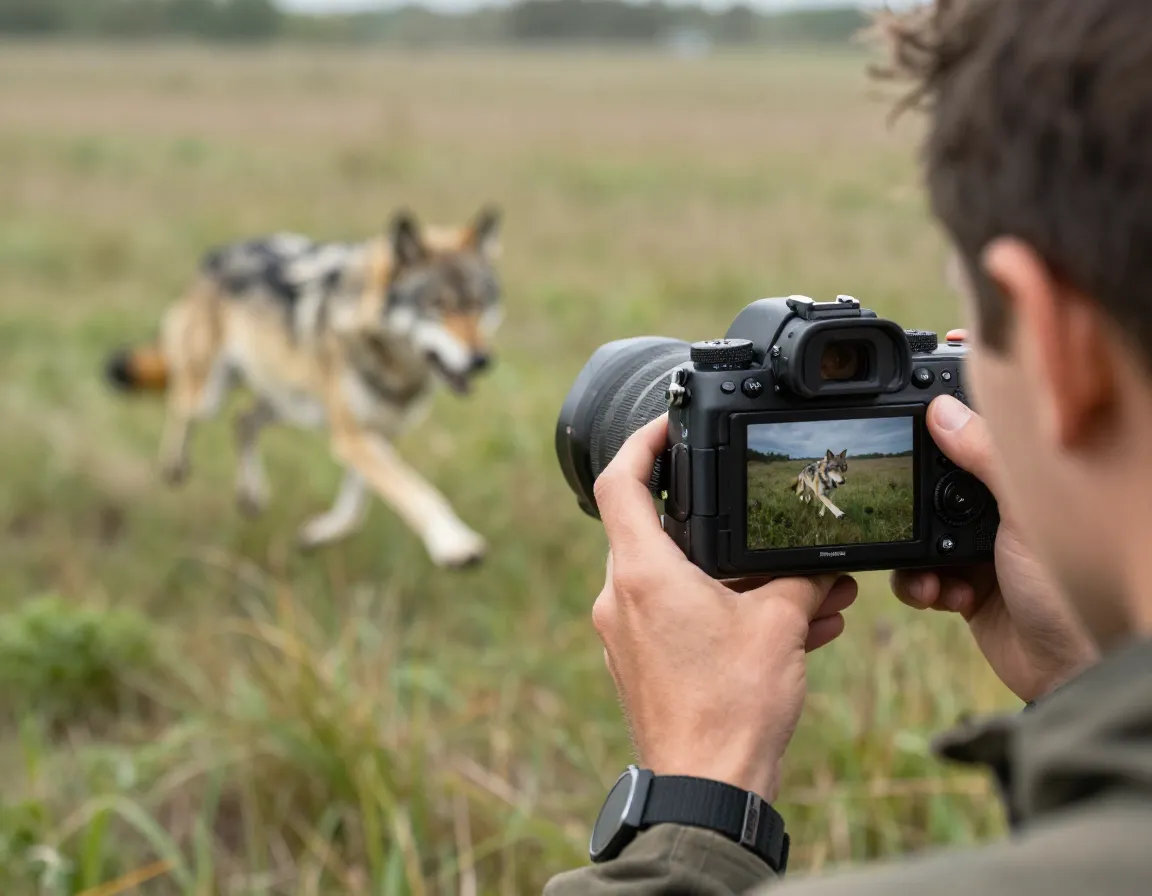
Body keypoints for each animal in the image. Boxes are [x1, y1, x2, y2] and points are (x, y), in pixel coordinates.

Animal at [104, 206, 503, 568]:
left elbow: (355, 509)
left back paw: (252, 496)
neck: (392, 367)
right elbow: (416, 490)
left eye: (480, 306)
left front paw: (317, 535)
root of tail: (215, 255)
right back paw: (175, 466)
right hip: (211, 394)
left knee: (241, 421)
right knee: (181, 404)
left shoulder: (379, 434)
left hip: (289, 403)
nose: (481, 360)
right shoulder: (353, 435)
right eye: (437, 306)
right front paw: (454, 543)